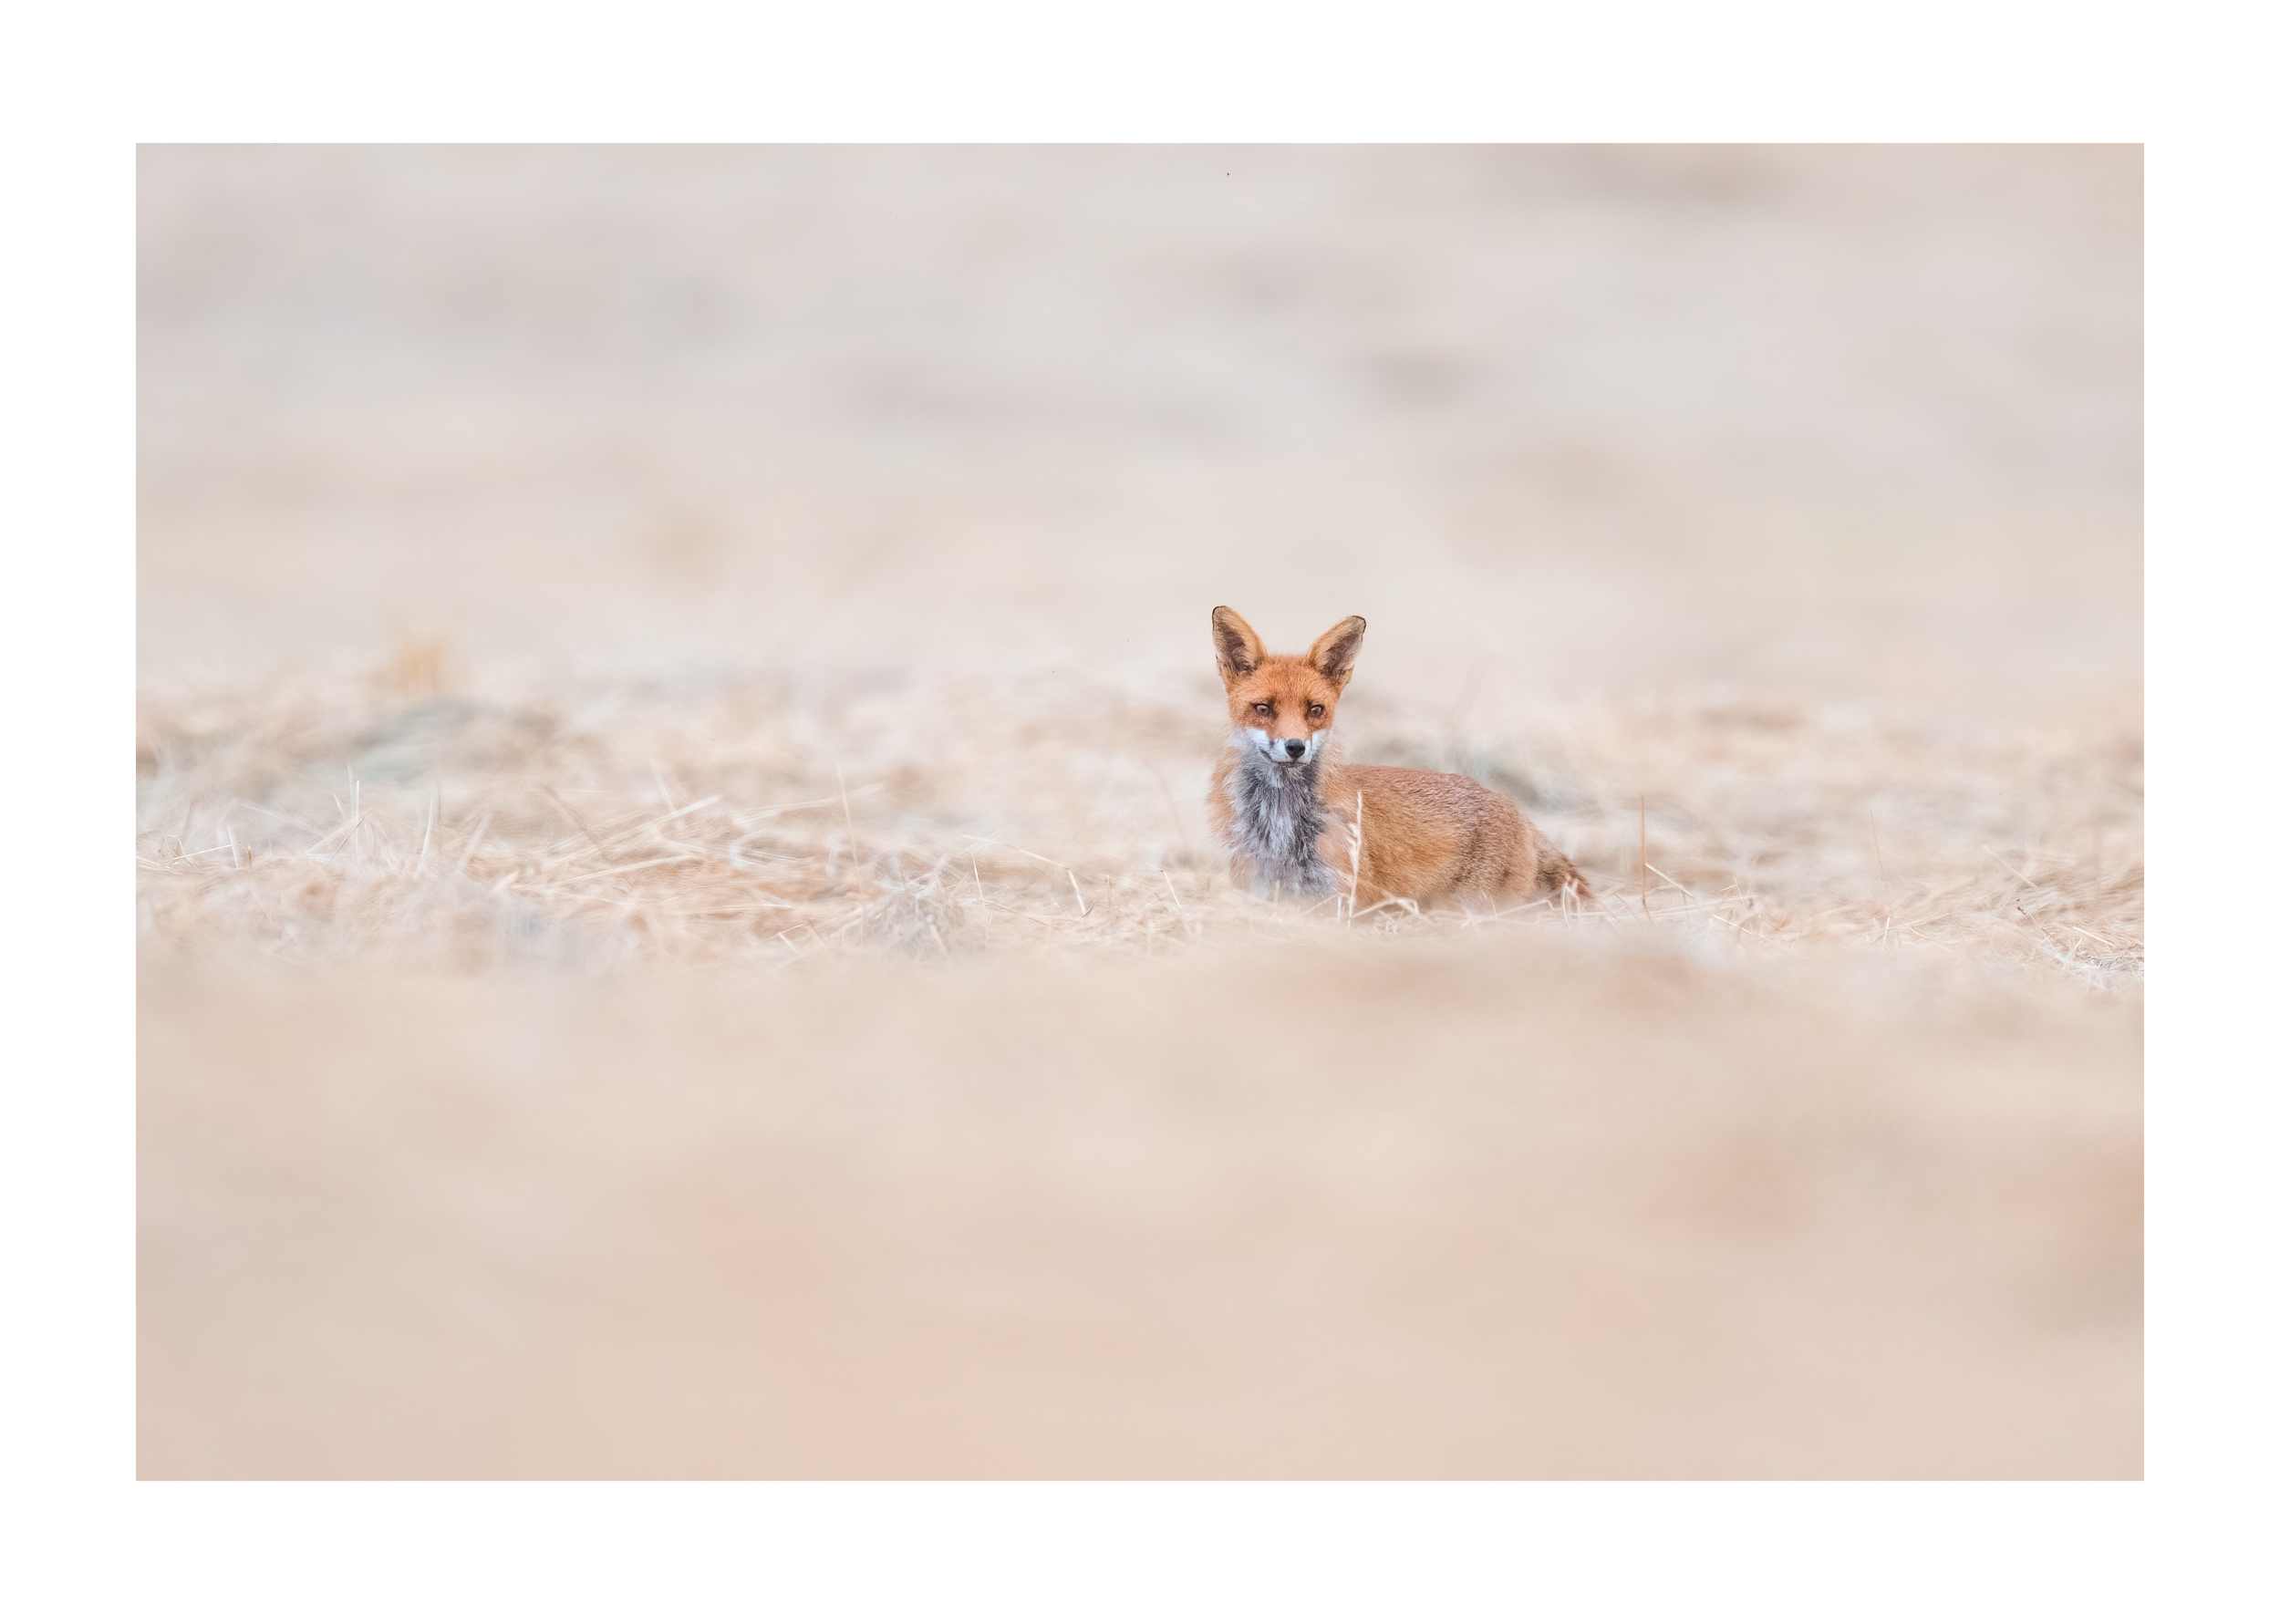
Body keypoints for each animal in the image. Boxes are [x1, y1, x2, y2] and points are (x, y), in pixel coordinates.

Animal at [1207, 606, 1593, 913]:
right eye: (1263, 709)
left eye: (1315, 710)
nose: (1295, 746)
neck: (1281, 824)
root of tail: (1518, 813)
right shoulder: (1261, 892)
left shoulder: (1349, 900)